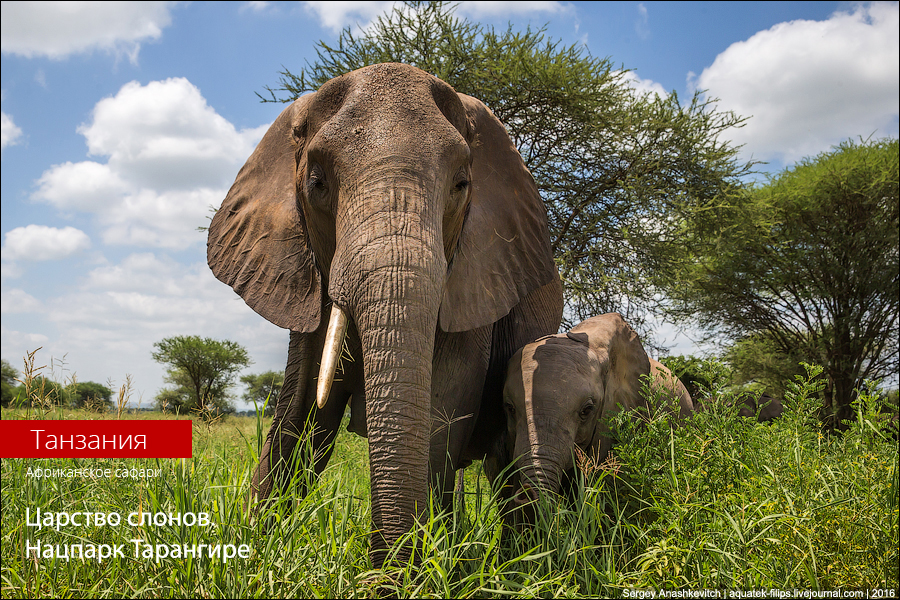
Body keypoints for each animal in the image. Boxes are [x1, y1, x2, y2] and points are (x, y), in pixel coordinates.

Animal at [209, 63, 564, 564]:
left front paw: (412, 571)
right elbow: (301, 416)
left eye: (461, 185)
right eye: (317, 183)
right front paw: (250, 551)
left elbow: (442, 407)